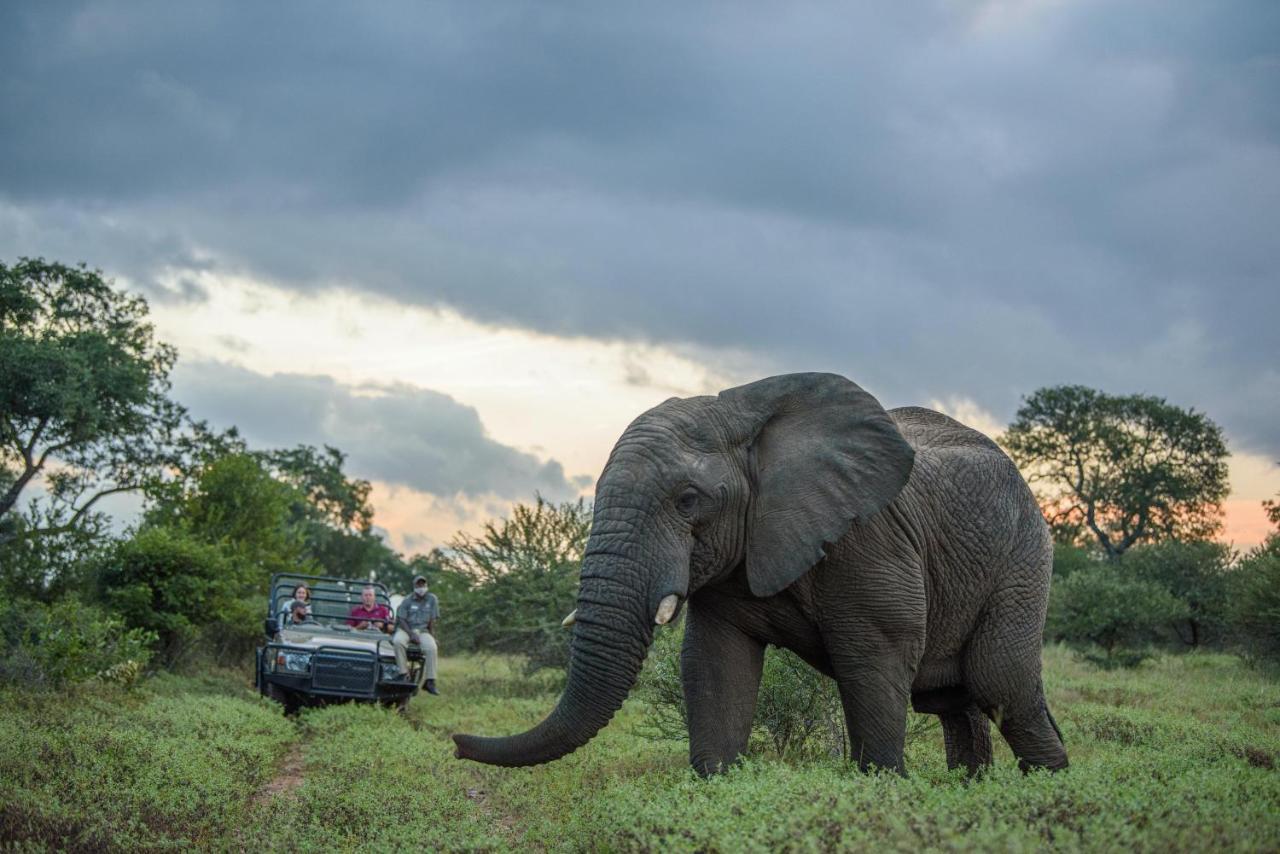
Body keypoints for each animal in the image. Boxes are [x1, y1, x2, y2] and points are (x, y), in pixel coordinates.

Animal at [453, 371, 1070, 778]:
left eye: (688, 500)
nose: (454, 742)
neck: (741, 414)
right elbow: (715, 663)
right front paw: (717, 783)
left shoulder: (868, 538)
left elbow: (875, 657)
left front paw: (882, 788)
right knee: (954, 700)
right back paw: (973, 788)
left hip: (1023, 561)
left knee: (1000, 682)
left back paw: (1046, 788)